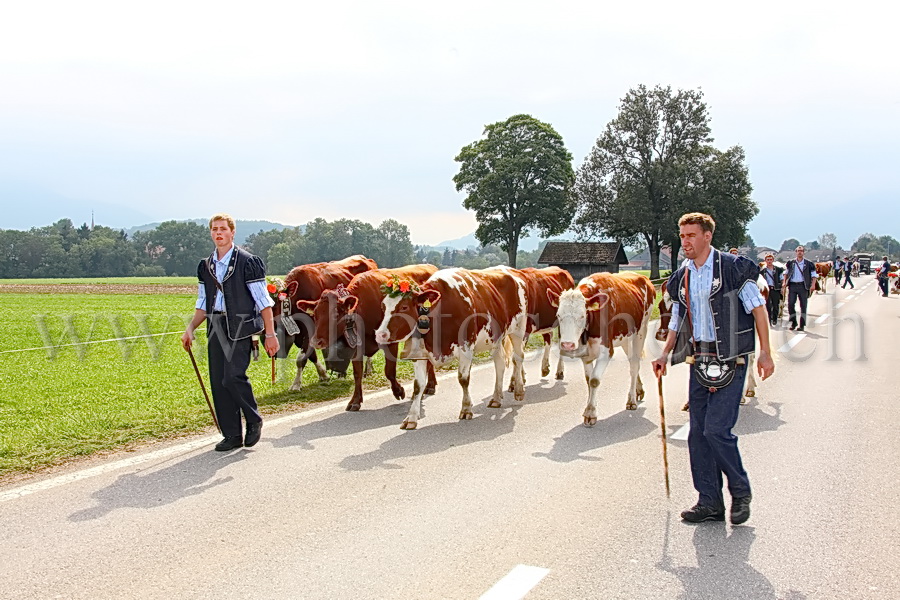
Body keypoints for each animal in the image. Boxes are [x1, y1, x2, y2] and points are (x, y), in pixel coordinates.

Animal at [298, 264, 440, 410]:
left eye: (335, 314)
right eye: (315, 315)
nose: (316, 341)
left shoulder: (390, 341)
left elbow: (389, 371)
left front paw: (398, 391)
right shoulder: (357, 347)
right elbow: (358, 374)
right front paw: (355, 401)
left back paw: (429, 386)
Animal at [372, 268, 528, 432]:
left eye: (404, 307)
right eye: (383, 307)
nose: (380, 334)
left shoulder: (466, 348)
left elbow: (463, 379)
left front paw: (466, 408)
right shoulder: (420, 354)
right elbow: (418, 386)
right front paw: (411, 418)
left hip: (518, 329)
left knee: (518, 358)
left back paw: (519, 390)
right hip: (496, 339)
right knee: (500, 364)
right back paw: (496, 398)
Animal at [548, 272, 652, 426]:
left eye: (582, 315)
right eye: (558, 315)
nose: (567, 344)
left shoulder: (606, 352)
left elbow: (594, 380)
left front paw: (590, 412)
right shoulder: (585, 355)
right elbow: (588, 380)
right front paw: (591, 405)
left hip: (641, 332)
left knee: (634, 365)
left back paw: (631, 400)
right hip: (626, 338)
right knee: (632, 361)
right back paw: (638, 390)